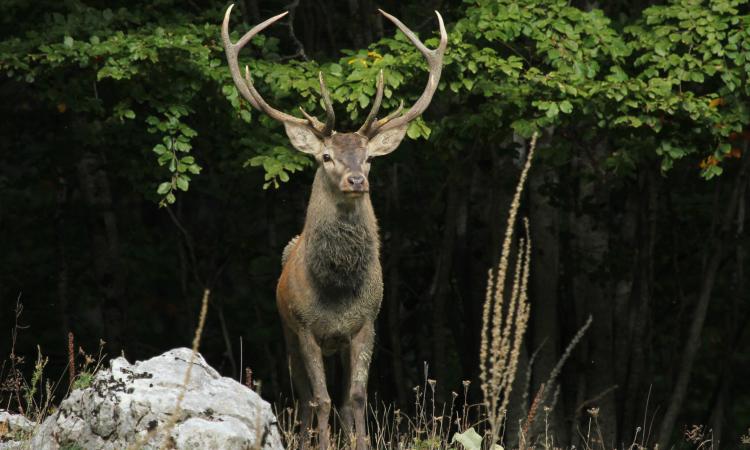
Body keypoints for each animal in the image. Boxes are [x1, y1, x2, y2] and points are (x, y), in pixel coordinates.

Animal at [222, 5, 446, 449]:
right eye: (326, 156)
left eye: (369, 158)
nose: (356, 180)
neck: (337, 292)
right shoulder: (305, 327)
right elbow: (321, 400)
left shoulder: (365, 326)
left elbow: (354, 398)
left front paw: (362, 442)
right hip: (287, 334)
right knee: (305, 398)